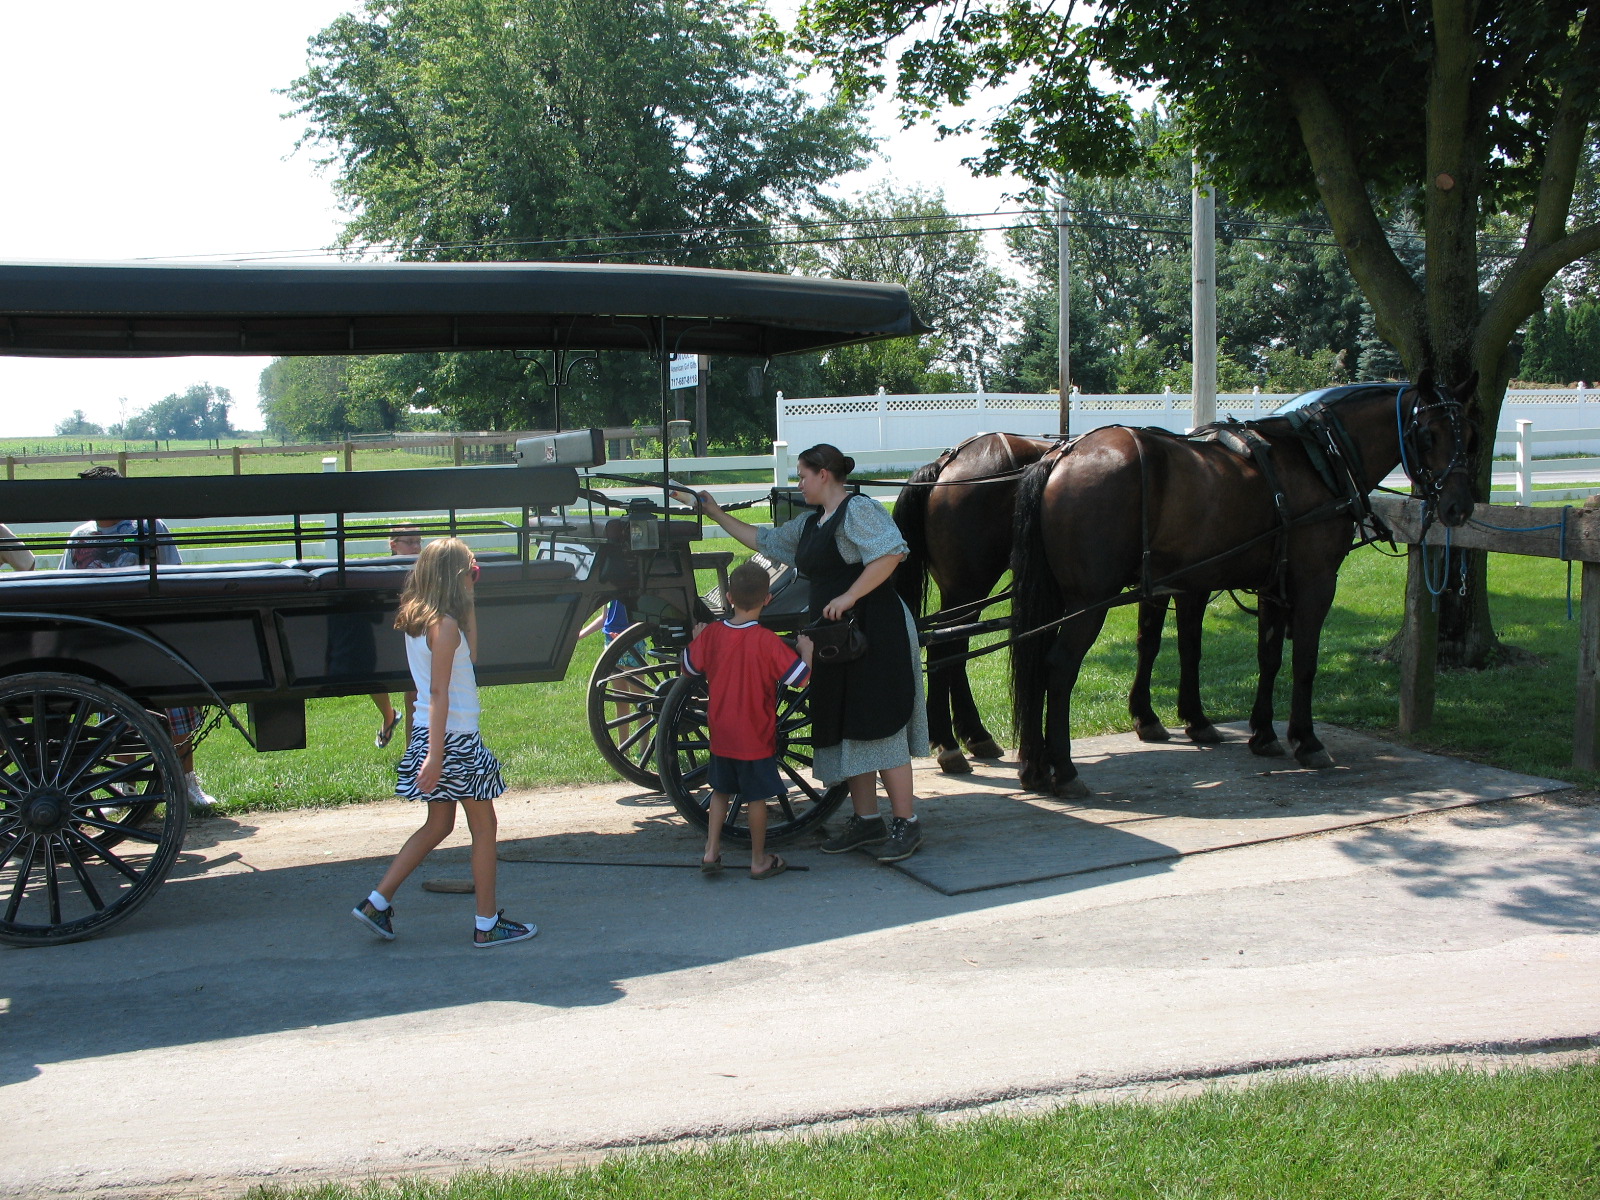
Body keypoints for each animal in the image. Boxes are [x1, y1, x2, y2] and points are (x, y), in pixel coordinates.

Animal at [896, 438, 1216, 774]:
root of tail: (946, 462)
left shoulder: (1155, 585)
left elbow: (1149, 642)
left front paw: (1146, 715)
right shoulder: (1190, 584)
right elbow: (1189, 647)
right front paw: (1193, 718)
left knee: (951, 649)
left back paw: (972, 736)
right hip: (968, 586)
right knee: (946, 649)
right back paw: (951, 742)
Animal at [1011, 376, 1472, 800]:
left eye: (1465, 433)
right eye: (1428, 434)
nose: (1459, 507)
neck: (1319, 458)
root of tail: (1063, 455)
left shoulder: (1271, 585)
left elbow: (1266, 657)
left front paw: (1263, 733)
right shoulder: (1316, 581)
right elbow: (1304, 662)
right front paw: (1307, 740)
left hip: (1062, 597)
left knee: (1035, 660)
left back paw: (1035, 767)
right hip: (1090, 601)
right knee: (1059, 667)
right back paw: (1064, 769)